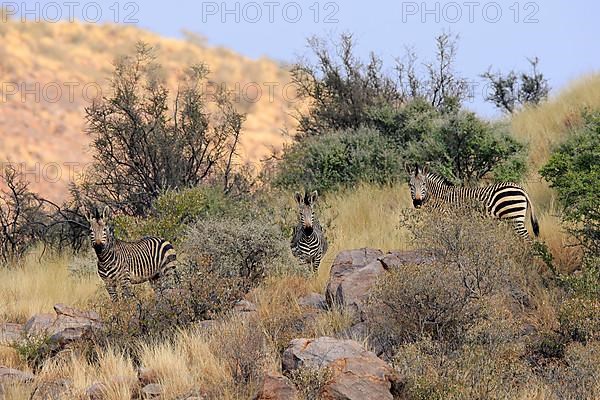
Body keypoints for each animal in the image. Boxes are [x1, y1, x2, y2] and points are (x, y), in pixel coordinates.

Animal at [406, 163, 540, 239]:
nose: (417, 202)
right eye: (410, 185)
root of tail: (520, 188)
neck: (440, 197)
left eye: (423, 184)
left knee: (528, 240)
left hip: (515, 218)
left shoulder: (447, 219)